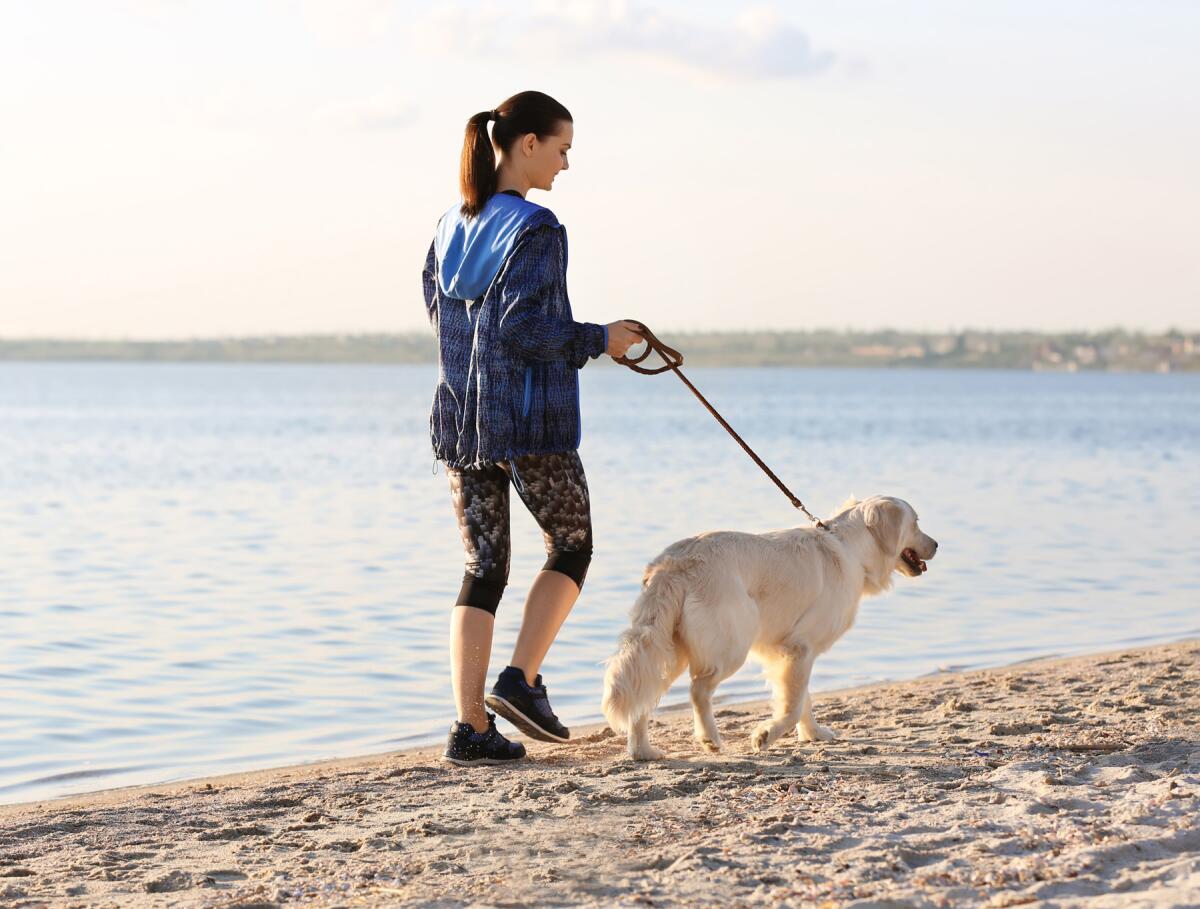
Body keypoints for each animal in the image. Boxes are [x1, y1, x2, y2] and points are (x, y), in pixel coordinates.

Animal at [600, 498, 936, 762]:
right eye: (916, 523)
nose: (936, 544)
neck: (850, 548)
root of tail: (672, 564)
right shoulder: (800, 647)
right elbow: (792, 705)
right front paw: (766, 735)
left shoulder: (790, 652)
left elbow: (801, 698)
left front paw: (813, 733)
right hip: (732, 642)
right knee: (698, 689)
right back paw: (710, 739)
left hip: (667, 643)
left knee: (644, 692)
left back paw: (643, 751)